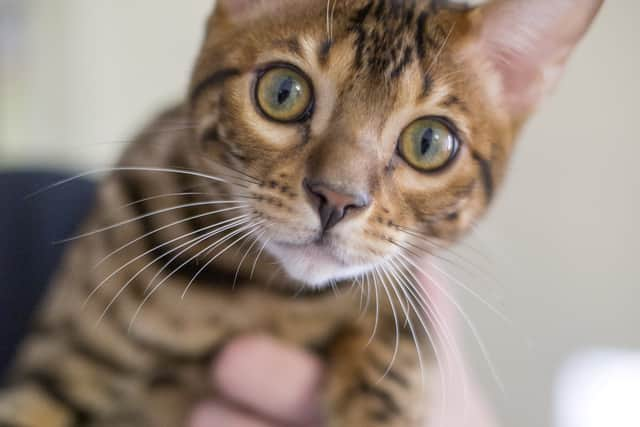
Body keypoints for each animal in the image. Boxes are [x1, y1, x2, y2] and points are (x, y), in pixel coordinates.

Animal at [0, 0, 604, 427]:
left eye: (429, 142)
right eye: (282, 91)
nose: (336, 199)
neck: (263, 295)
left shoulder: (404, 293)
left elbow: (398, 344)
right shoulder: (62, 360)